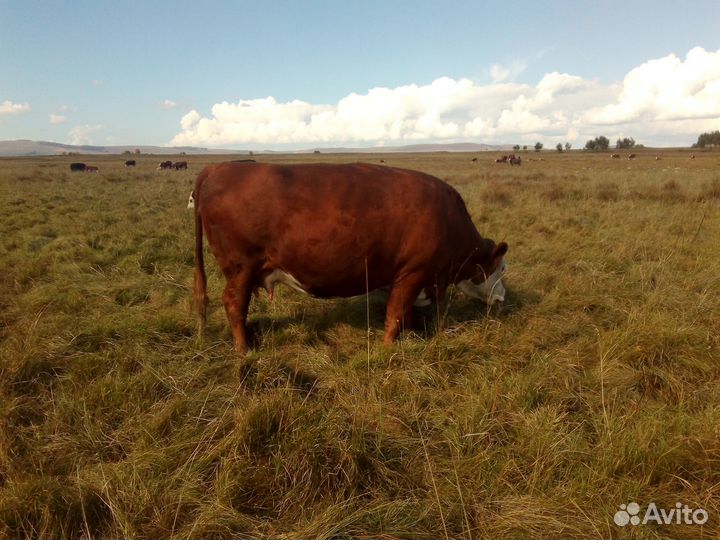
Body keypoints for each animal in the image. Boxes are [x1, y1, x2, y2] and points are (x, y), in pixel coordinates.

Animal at [192, 162, 508, 354]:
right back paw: (244, 349)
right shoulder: (412, 274)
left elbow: (406, 314)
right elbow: (395, 314)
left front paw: (412, 336)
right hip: (241, 268)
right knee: (234, 304)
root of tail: (219, 166)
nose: (503, 299)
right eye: (501, 269)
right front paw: (387, 350)